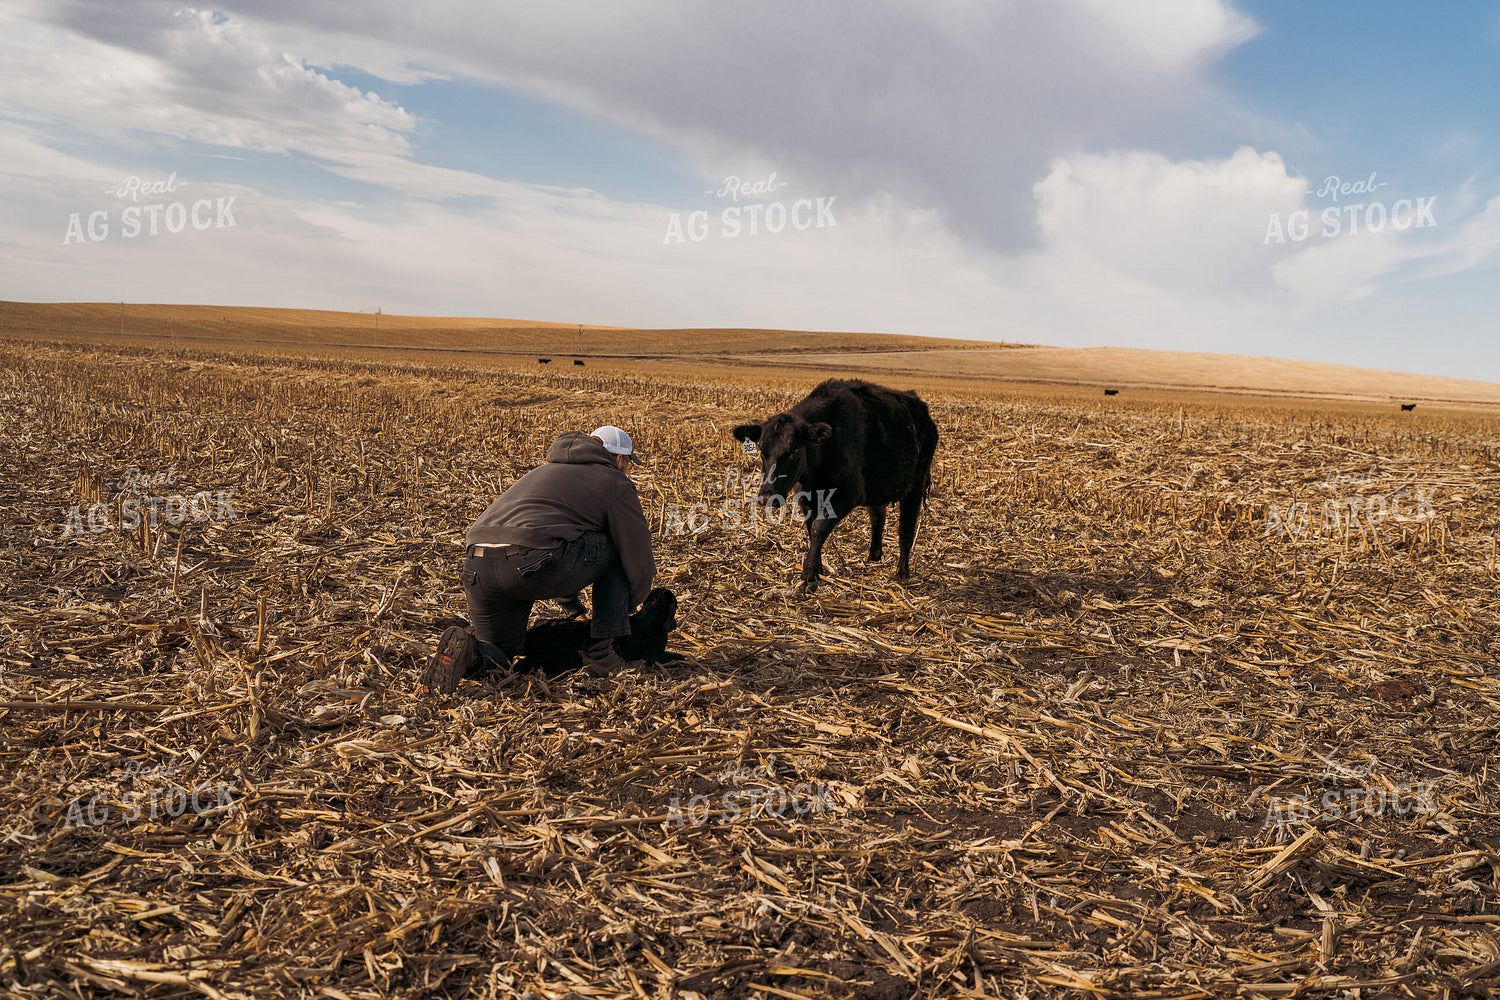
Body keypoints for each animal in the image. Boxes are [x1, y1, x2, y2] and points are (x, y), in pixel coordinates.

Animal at [733, 378, 938, 593]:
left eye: (795, 450)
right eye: (762, 449)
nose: (767, 496)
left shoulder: (849, 494)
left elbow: (819, 527)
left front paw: (808, 575)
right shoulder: (805, 495)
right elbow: (811, 528)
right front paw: (818, 569)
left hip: (916, 484)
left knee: (906, 529)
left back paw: (902, 573)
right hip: (878, 486)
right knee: (878, 517)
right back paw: (873, 557)